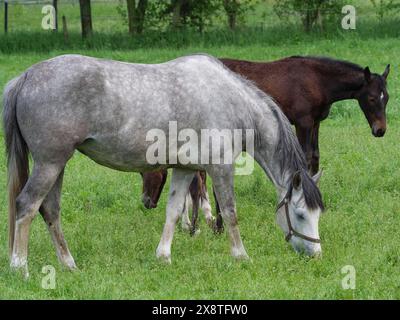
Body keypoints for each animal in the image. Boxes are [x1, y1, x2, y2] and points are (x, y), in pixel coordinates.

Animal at [1, 53, 324, 276]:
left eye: (317, 214)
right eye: (300, 214)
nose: (315, 254)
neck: (231, 102)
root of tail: (26, 77)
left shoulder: (184, 169)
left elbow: (174, 211)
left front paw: (164, 256)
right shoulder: (221, 168)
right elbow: (230, 212)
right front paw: (241, 256)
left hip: (57, 165)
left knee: (50, 210)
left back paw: (69, 264)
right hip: (49, 164)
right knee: (26, 206)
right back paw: (20, 268)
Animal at [141, 56, 390, 232]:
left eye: (386, 98)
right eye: (371, 98)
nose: (380, 130)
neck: (317, 80)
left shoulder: (316, 123)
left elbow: (315, 158)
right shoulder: (303, 123)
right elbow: (305, 158)